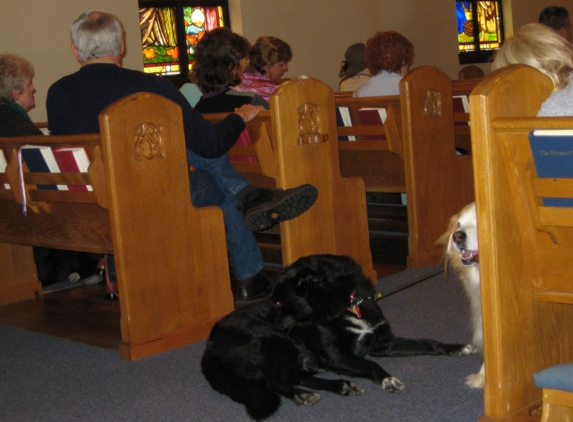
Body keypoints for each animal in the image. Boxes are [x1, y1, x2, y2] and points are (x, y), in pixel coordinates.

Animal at [201, 254, 470, 418]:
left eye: (278, 302)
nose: (263, 320)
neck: (348, 305)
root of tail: (208, 350)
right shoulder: (339, 356)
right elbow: (371, 364)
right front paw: (388, 380)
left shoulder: (384, 343)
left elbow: (428, 342)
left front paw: (455, 347)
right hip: (276, 343)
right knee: (275, 381)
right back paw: (302, 395)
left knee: (297, 376)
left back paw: (341, 386)